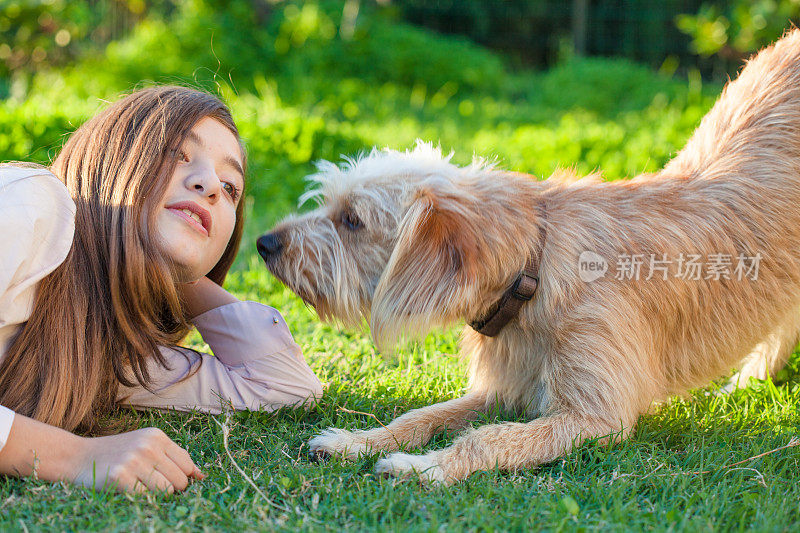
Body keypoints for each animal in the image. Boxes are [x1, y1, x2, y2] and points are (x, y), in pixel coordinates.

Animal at [258, 31, 800, 484]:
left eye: (352, 220)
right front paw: (359, 441)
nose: (264, 244)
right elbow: (422, 414)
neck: (535, 266)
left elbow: (487, 438)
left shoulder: (593, 417)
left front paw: (424, 467)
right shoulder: (502, 390)